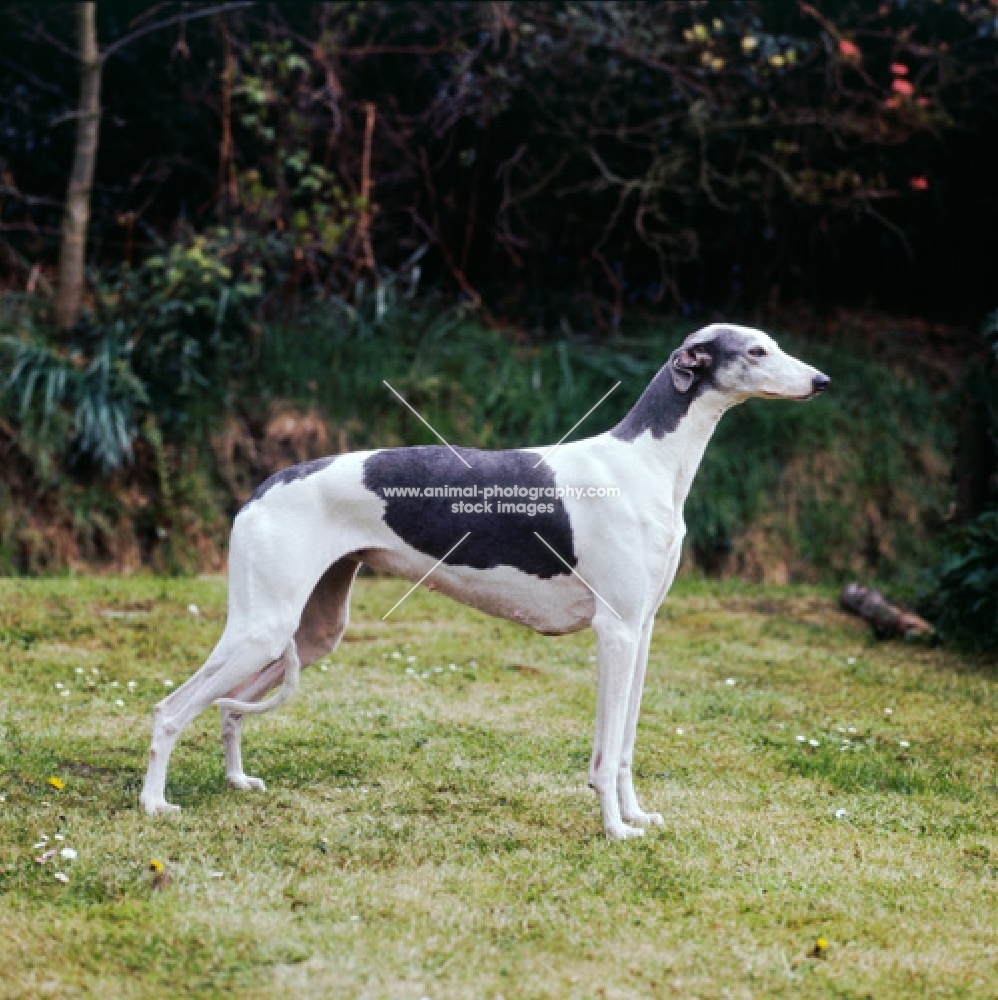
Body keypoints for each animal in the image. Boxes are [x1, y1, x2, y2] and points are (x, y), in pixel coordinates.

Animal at [141, 324, 828, 840]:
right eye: (757, 351)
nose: (822, 382)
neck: (647, 462)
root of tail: (265, 485)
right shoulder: (615, 634)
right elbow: (607, 754)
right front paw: (614, 830)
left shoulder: (643, 631)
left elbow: (627, 746)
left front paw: (636, 817)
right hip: (261, 631)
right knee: (170, 711)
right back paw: (153, 804)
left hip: (308, 634)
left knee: (227, 708)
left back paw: (236, 781)